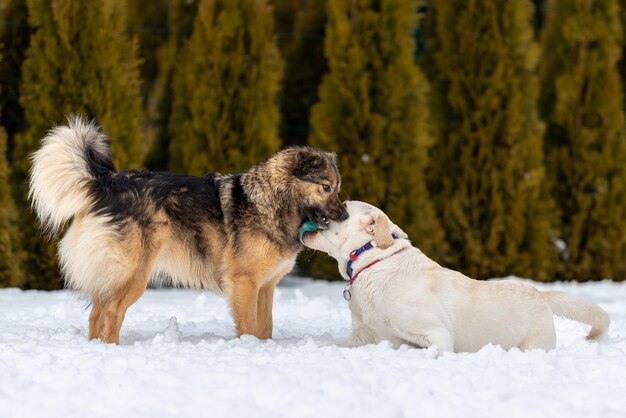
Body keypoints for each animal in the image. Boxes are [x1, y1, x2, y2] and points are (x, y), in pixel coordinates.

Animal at [29, 116, 346, 342]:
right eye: (326, 187)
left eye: (337, 188)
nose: (344, 215)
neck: (271, 201)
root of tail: (108, 183)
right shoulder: (244, 282)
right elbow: (249, 327)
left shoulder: (265, 286)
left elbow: (265, 327)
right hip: (133, 274)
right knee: (110, 313)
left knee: (97, 315)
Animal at [304, 202, 608, 356]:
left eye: (343, 205)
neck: (374, 263)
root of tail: (541, 294)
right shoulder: (363, 336)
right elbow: (331, 344)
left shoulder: (437, 333)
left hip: (533, 345)